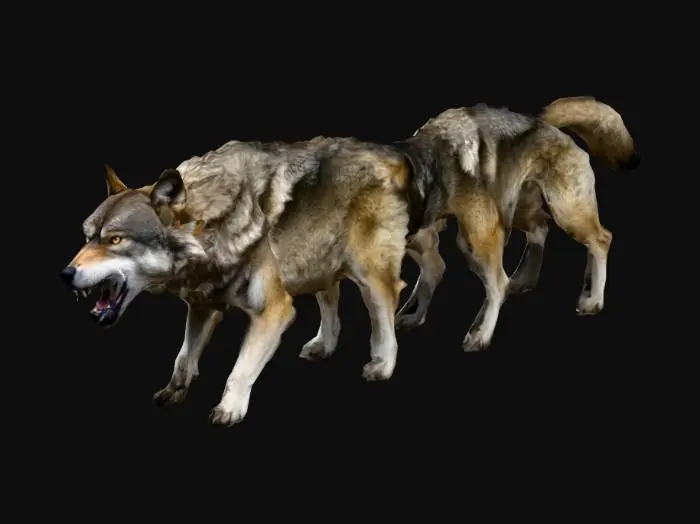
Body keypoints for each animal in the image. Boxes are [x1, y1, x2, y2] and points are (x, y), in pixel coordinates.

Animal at [60, 138, 418, 426]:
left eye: (115, 240)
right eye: (88, 237)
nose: (65, 274)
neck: (207, 228)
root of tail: (390, 152)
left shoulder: (274, 311)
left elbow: (240, 369)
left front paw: (230, 409)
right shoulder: (202, 306)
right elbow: (183, 358)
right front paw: (174, 391)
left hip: (368, 273)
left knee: (384, 308)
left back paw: (382, 364)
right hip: (316, 261)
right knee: (332, 299)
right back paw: (323, 346)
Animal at [391, 96, 640, 351]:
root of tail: (544, 124)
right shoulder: (416, 238)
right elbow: (429, 272)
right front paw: (410, 316)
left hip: (560, 213)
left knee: (600, 239)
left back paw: (593, 299)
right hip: (515, 214)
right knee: (541, 230)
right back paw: (527, 281)